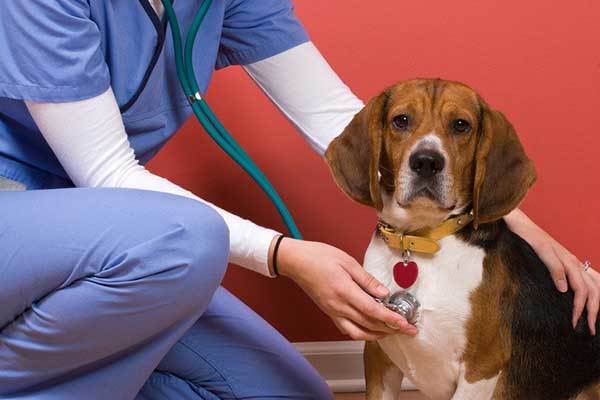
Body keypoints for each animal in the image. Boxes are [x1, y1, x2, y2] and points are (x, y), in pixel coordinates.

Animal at [326, 79, 600, 400]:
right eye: (401, 120)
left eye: (461, 125)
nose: (426, 162)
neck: (419, 241)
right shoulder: (378, 356)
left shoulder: (480, 369)